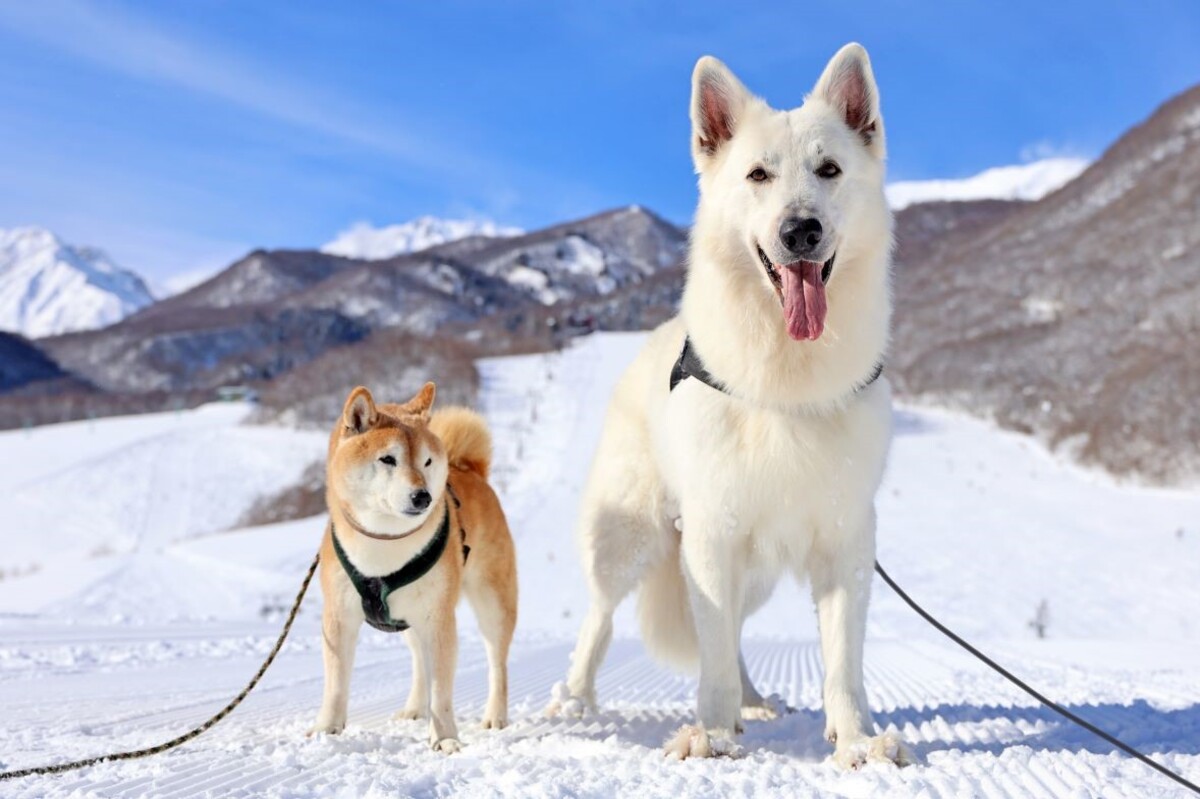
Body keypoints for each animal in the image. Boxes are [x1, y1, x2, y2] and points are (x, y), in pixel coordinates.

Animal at [309, 383, 516, 748]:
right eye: (388, 459)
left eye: (427, 461)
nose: (423, 497)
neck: (384, 544)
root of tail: (470, 470)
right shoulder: (338, 617)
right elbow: (335, 683)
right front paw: (326, 729)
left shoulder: (439, 618)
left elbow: (443, 692)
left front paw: (445, 739)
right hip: (408, 618)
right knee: (420, 661)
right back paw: (415, 709)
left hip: (492, 602)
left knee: (497, 662)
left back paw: (495, 716)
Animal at [547, 43, 907, 767]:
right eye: (758, 175)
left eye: (829, 169)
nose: (801, 230)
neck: (787, 383)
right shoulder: (714, 533)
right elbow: (709, 653)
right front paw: (709, 733)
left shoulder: (846, 539)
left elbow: (841, 659)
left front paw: (856, 739)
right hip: (631, 536)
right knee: (602, 617)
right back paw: (573, 698)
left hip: (750, 565)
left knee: (735, 630)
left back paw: (754, 700)